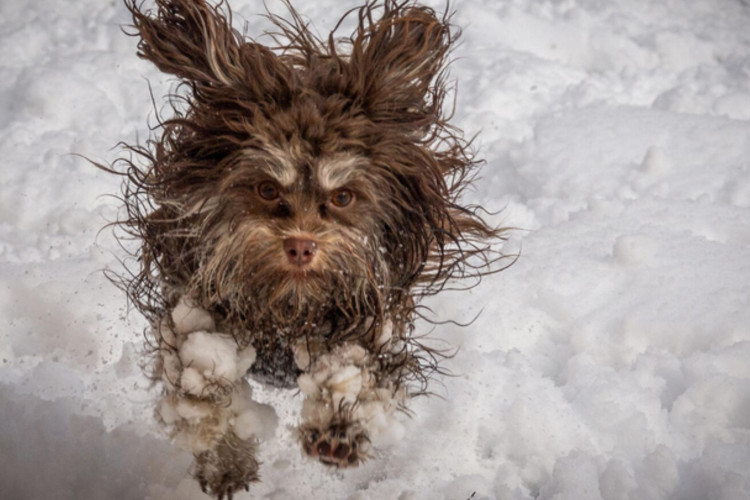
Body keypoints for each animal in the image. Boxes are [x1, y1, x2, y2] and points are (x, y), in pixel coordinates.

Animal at [103, 1, 508, 498]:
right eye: (265, 188)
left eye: (343, 197)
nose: (300, 246)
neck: (287, 307)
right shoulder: (192, 306)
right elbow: (201, 381)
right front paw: (225, 458)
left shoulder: (368, 319)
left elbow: (355, 371)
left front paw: (339, 430)